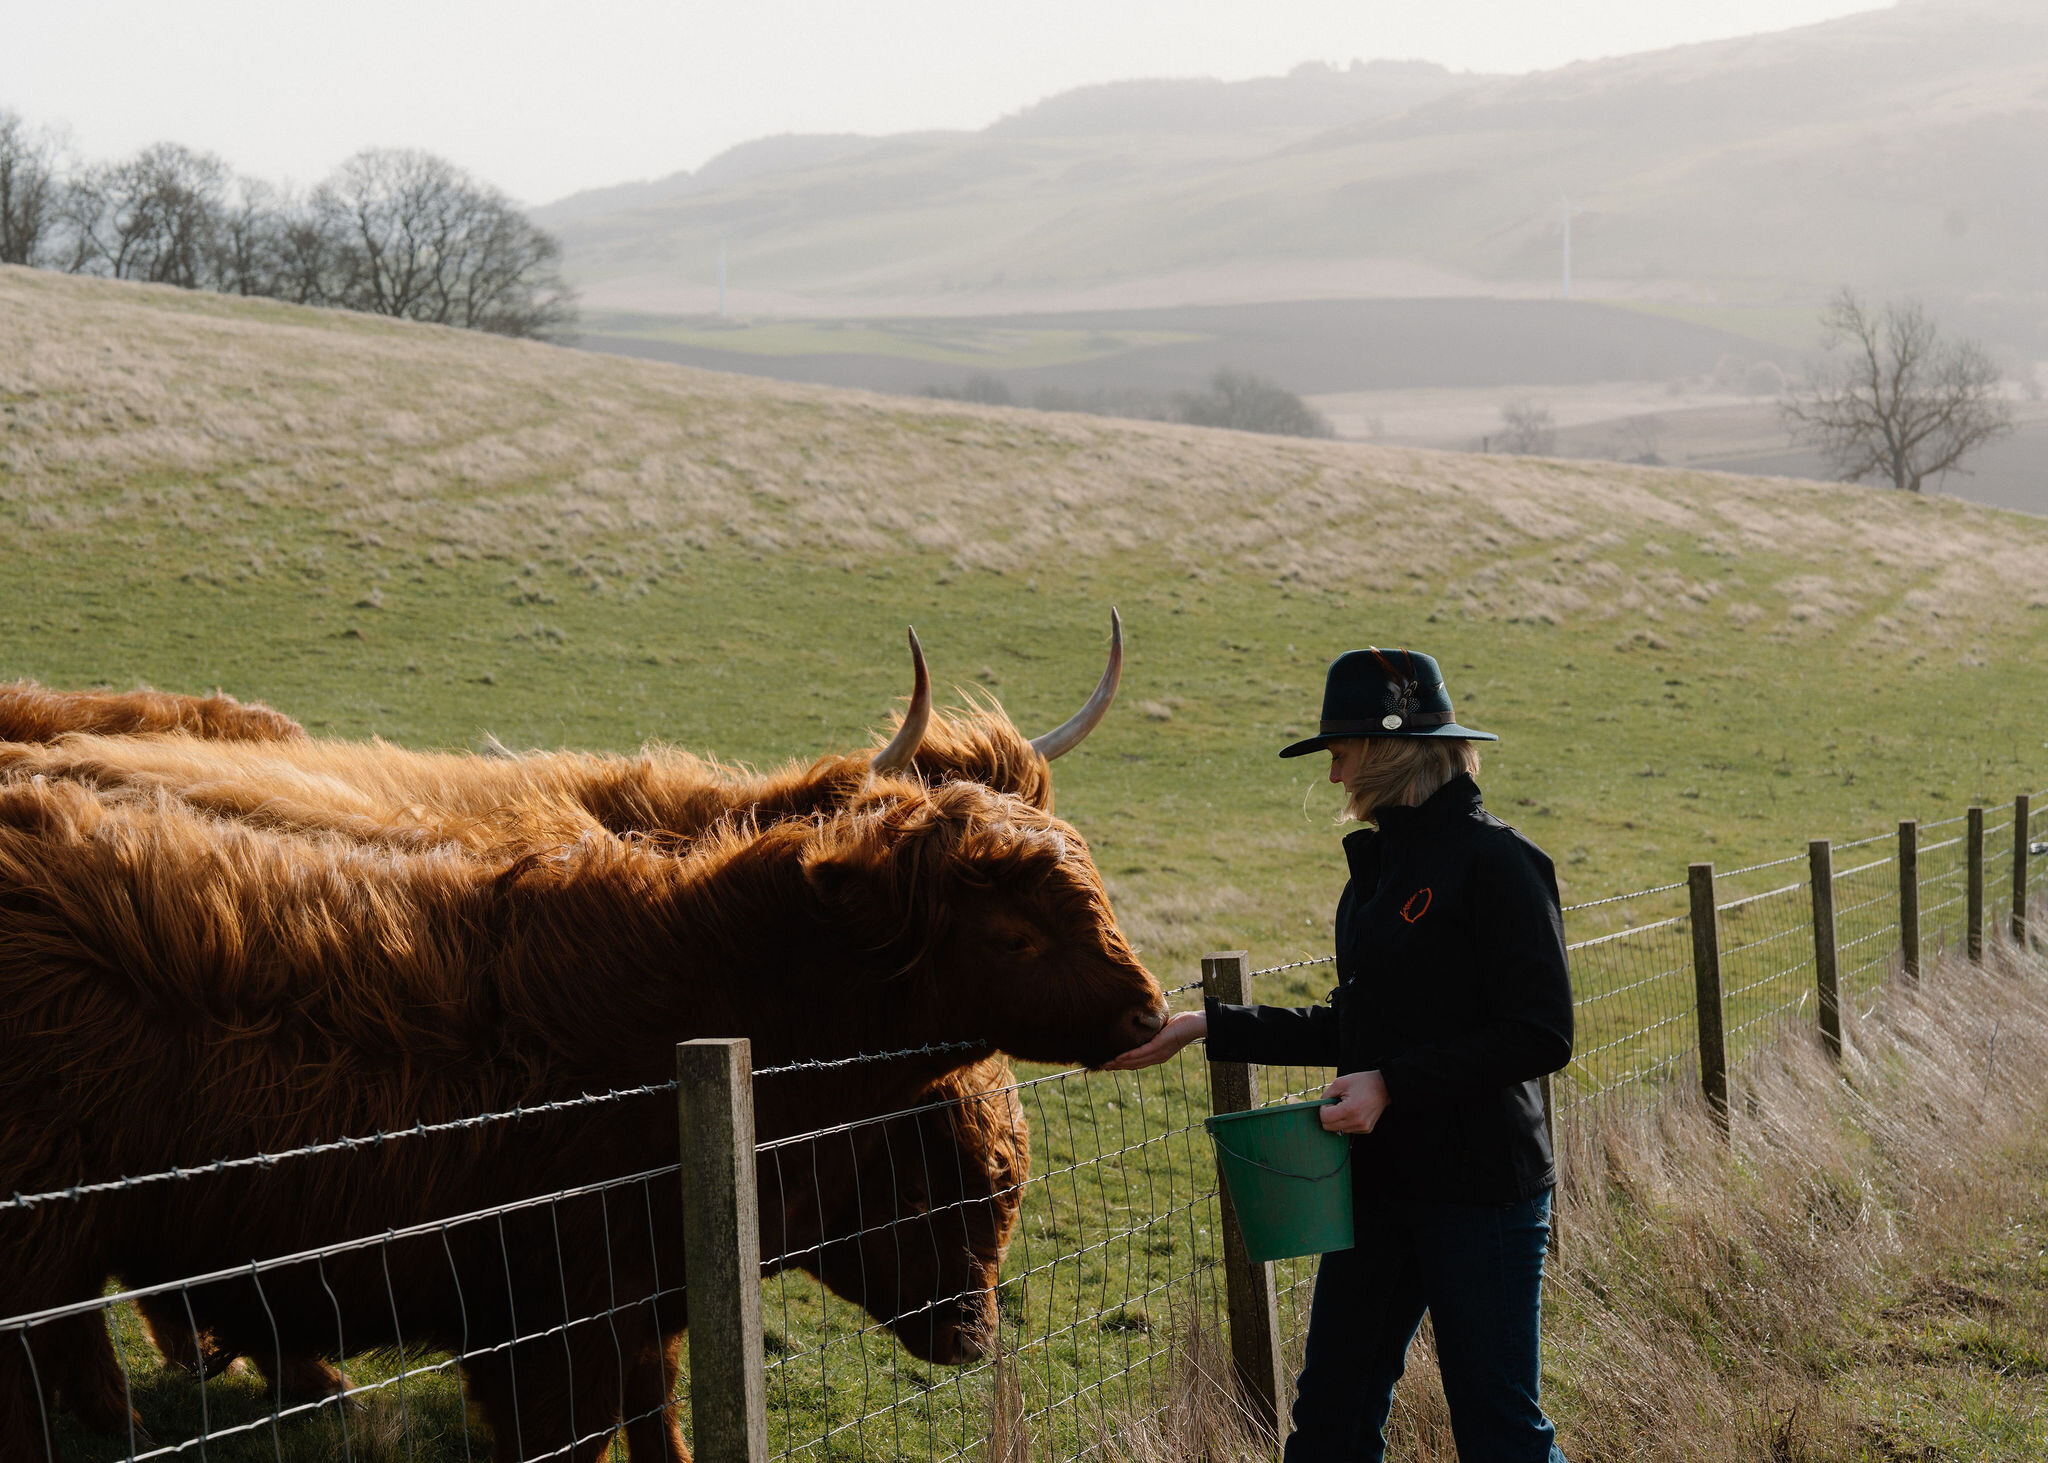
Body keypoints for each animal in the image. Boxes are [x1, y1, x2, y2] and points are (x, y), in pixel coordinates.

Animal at [0, 774, 1159, 1460]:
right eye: (1012, 934)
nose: (1149, 1008)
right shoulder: (554, 1321)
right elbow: (583, 1438)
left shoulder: (633, 1307)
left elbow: (657, 1423)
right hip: (37, 1235)